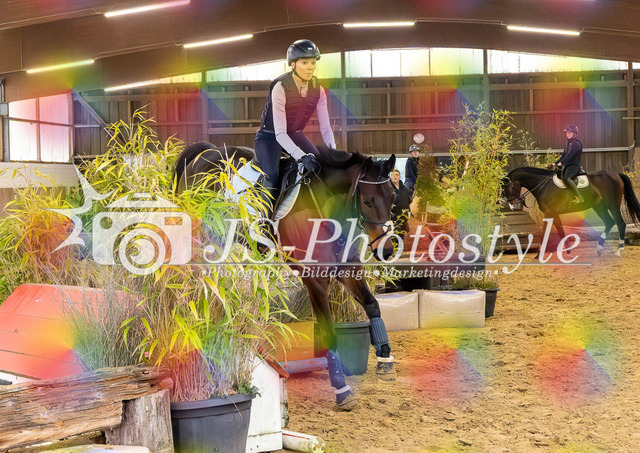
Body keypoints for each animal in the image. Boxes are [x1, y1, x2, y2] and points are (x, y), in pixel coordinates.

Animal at [174, 141, 399, 410]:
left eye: (392, 198)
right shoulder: (315, 278)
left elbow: (372, 305)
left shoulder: (348, 268)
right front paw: (341, 389)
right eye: (367, 201)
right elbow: (328, 332)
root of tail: (205, 152)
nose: (386, 251)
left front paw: (385, 358)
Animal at [502, 167, 640, 256]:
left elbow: (546, 232)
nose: (512, 205)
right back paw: (599, 248)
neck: (543, 186)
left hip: (613, 205)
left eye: (508, 187)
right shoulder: (553, 214)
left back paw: (619, 250)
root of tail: (616, 174)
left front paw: (540, 254)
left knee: (620, 223)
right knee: (609, 222)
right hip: (599, 206)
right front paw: (567, 250)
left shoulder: (550, 213)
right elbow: (560, 231)